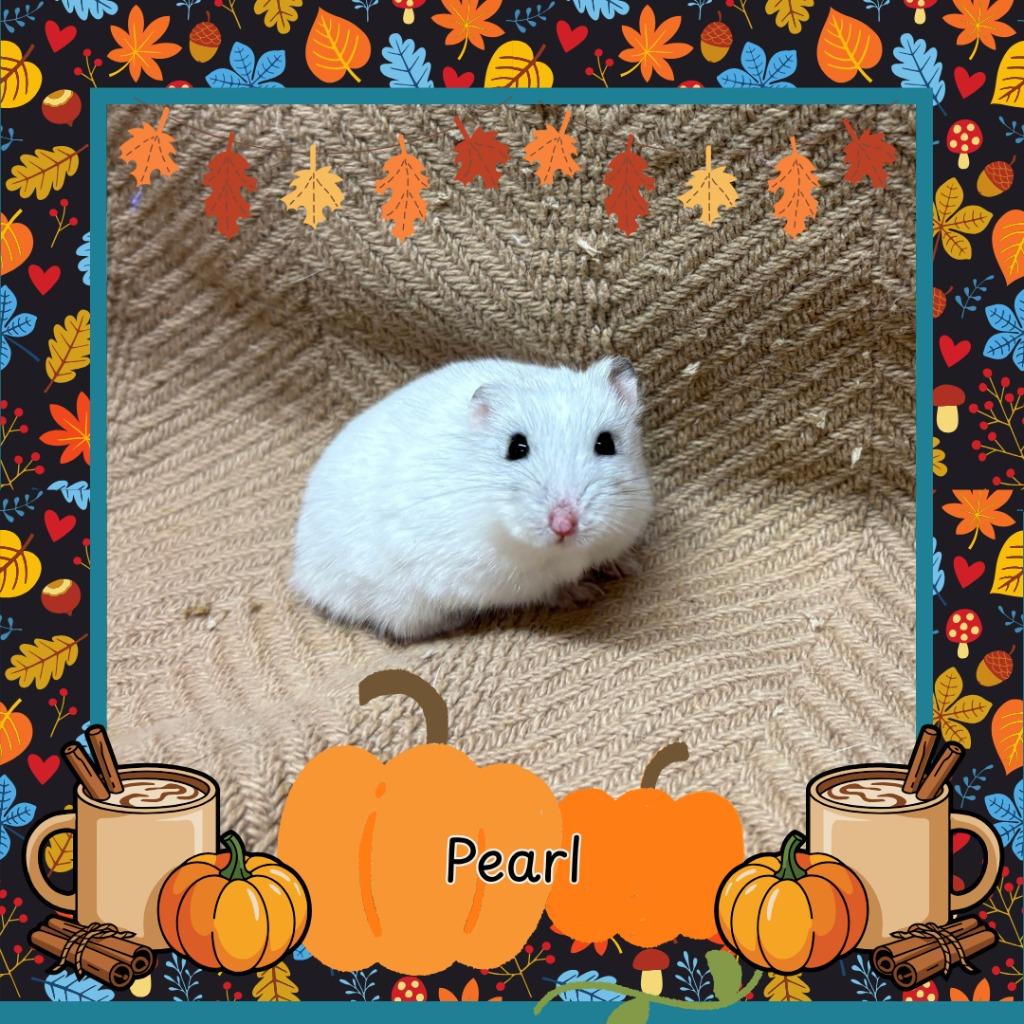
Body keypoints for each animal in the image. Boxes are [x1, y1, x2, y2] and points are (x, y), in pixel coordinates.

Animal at [291, 357, 653, 641]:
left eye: (606, 443)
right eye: (515, 447)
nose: (564, 524)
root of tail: (302, 568)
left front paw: (628, 566)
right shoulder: (508, 582)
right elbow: (551, 587)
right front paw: (583, 593)